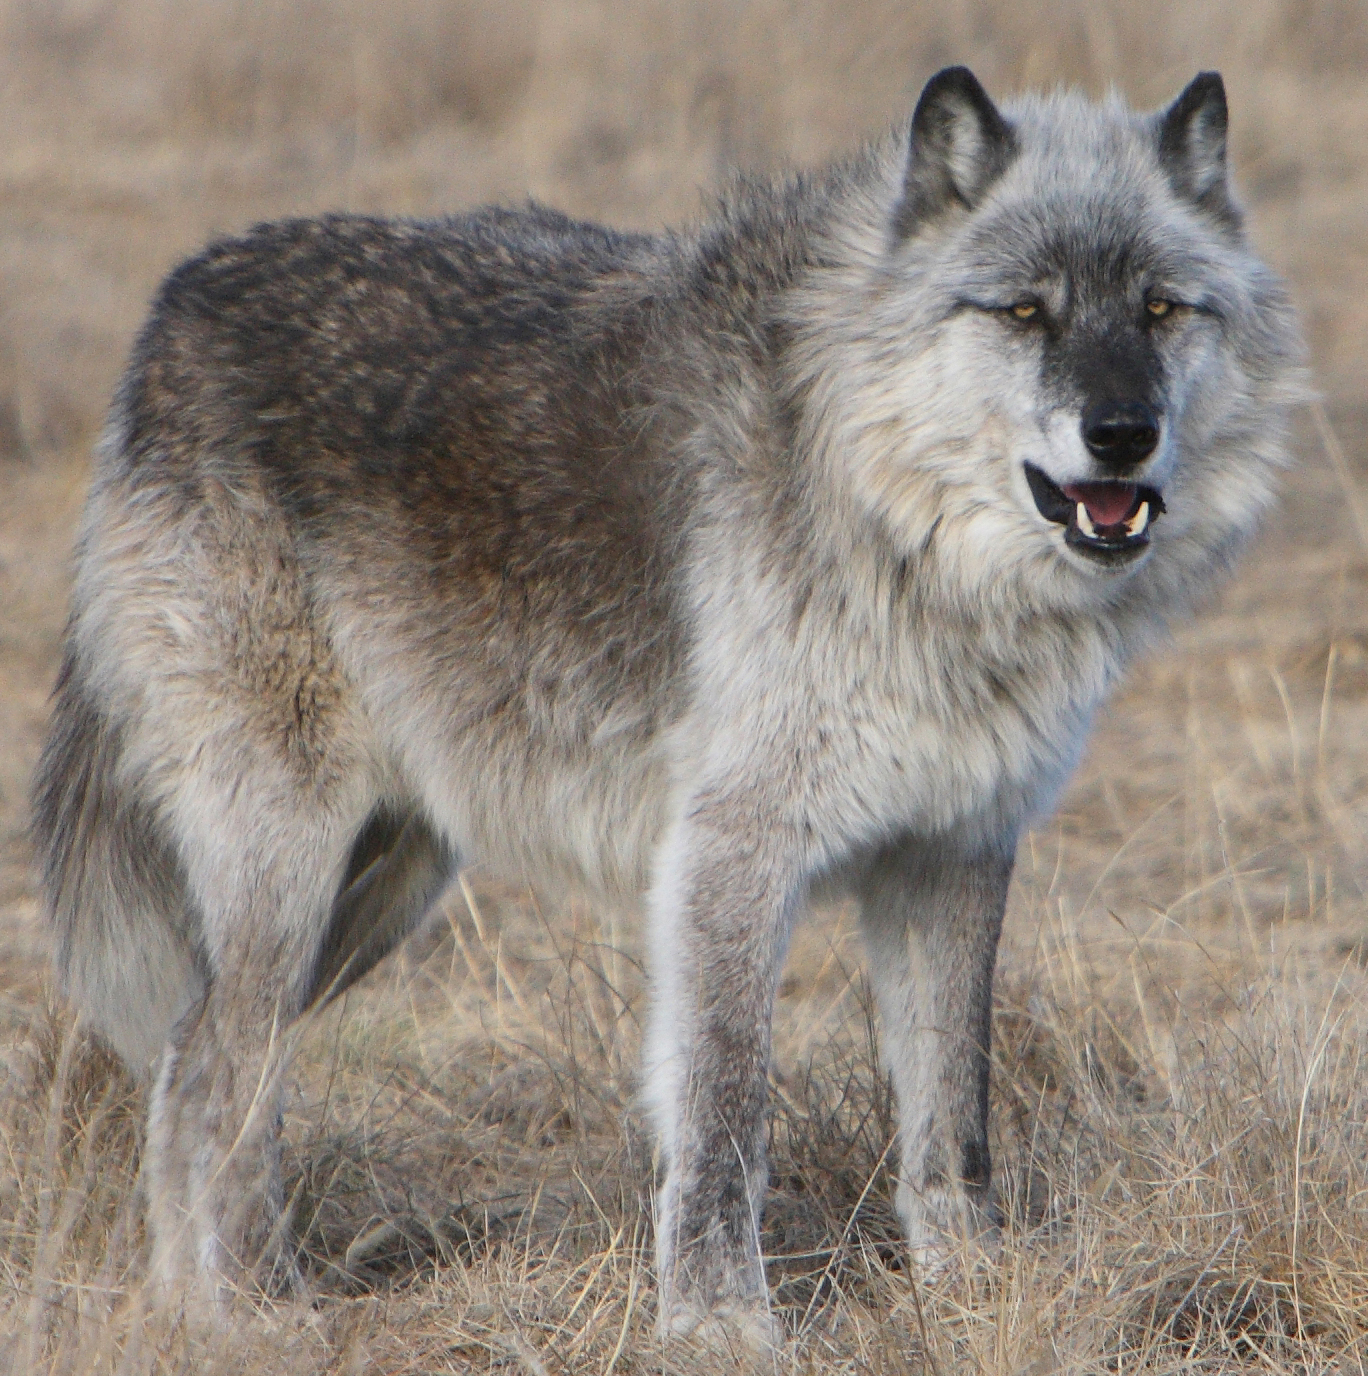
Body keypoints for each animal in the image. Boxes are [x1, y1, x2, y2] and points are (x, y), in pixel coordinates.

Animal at [31, 66, 1303, 1341]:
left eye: (1161, 309)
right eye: (1027, 312)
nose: (1123, 434)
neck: (899, 533)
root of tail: (178, 298)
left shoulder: (952, 848)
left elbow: (954, 1110)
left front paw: (977, 1289)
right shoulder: (730, 849)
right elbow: (726, 1108)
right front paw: (720, 1320)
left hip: (383, 884)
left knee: (186, 1066)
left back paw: (188, 1314)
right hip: (296, 869)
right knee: (213, 1068)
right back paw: (255, 1309)